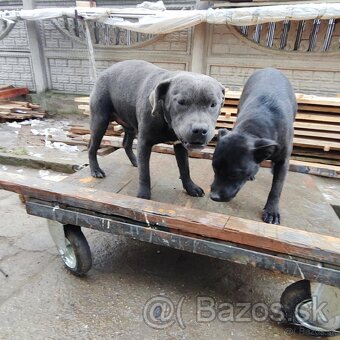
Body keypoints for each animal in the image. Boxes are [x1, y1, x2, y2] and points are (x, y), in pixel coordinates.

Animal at [89, 59, 224, 199]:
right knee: (92, 148)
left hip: (130, 126)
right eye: (181, 102)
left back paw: (135, 161)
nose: (200, 130)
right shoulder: (144, 143)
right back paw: (96, 170)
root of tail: (105, 71)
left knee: (126, 144)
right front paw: (143, 194)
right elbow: (144, 173)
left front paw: (191, 187)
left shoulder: (180, 145)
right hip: (99, 122)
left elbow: (185, 168)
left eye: (213, 104)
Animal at [209, 67, 296, 224]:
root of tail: (270, 68)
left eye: (234, 174)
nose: (214, 196)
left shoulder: (283, 160)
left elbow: (277, 187)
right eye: (214, 168)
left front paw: (272, 211)